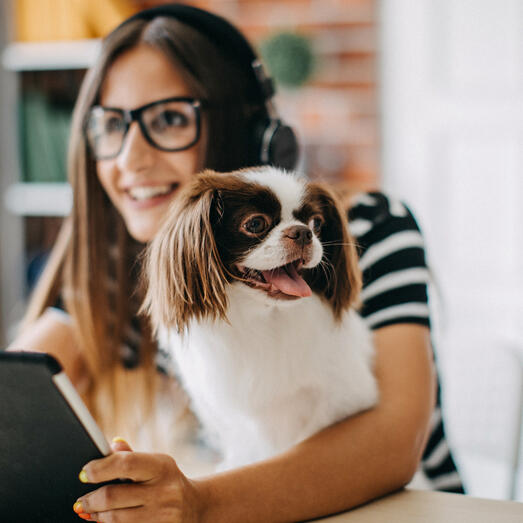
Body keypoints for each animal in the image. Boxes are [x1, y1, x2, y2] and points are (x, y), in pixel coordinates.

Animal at [143, 168, 378, 470]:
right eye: (255, 224)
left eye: (316, 223)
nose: (303, 232)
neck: (267, 317)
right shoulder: (238, 424)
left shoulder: (343, 398)